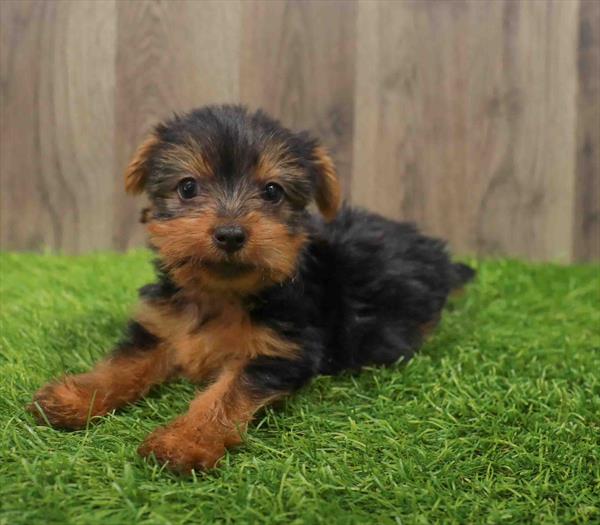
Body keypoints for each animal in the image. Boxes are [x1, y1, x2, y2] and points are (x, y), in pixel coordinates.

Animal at [30, 104, 476, 472]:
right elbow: (124, 363)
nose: (230, 233)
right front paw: (74, 397)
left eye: (272, 191)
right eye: (187, 187)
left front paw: (184, 441)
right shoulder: (162, 325)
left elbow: (225, 394)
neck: (220, 293)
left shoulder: (280, 349)